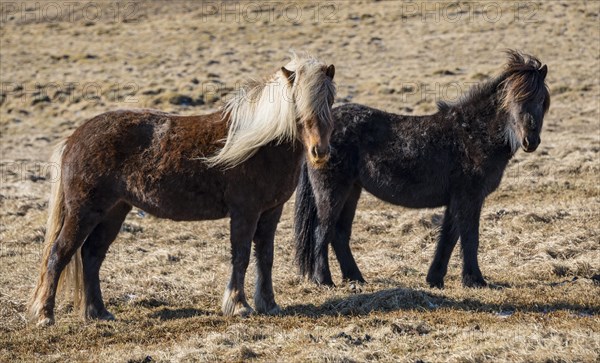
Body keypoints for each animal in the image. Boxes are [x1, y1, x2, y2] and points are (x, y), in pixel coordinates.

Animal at [29, 54, 338, 328]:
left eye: (330, 100)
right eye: (297, 102)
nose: (320, 152)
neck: (260, 143)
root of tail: (74, 138)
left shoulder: (271, 211)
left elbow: (265, 257)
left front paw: (269, 304)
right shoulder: (245, 213)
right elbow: (241, 256)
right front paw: (239, 306)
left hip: (113, 212)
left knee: (91, 256)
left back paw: (98, 312)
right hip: (84, 212)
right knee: (58, 254)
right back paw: (46, 315)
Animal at [292, 49, 552, 288]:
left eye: (541, 101)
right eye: (513, 100)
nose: (530, 141)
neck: (473, 133)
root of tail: (317, 137)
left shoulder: (457, 199)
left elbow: (449, 237)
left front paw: (435, 279)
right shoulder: (469, 197)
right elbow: (470, 237)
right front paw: (475, 280)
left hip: (352, 190)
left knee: (339, 234)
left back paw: (355, 278)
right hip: (333, 191)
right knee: (322, 231)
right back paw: (324, 281)